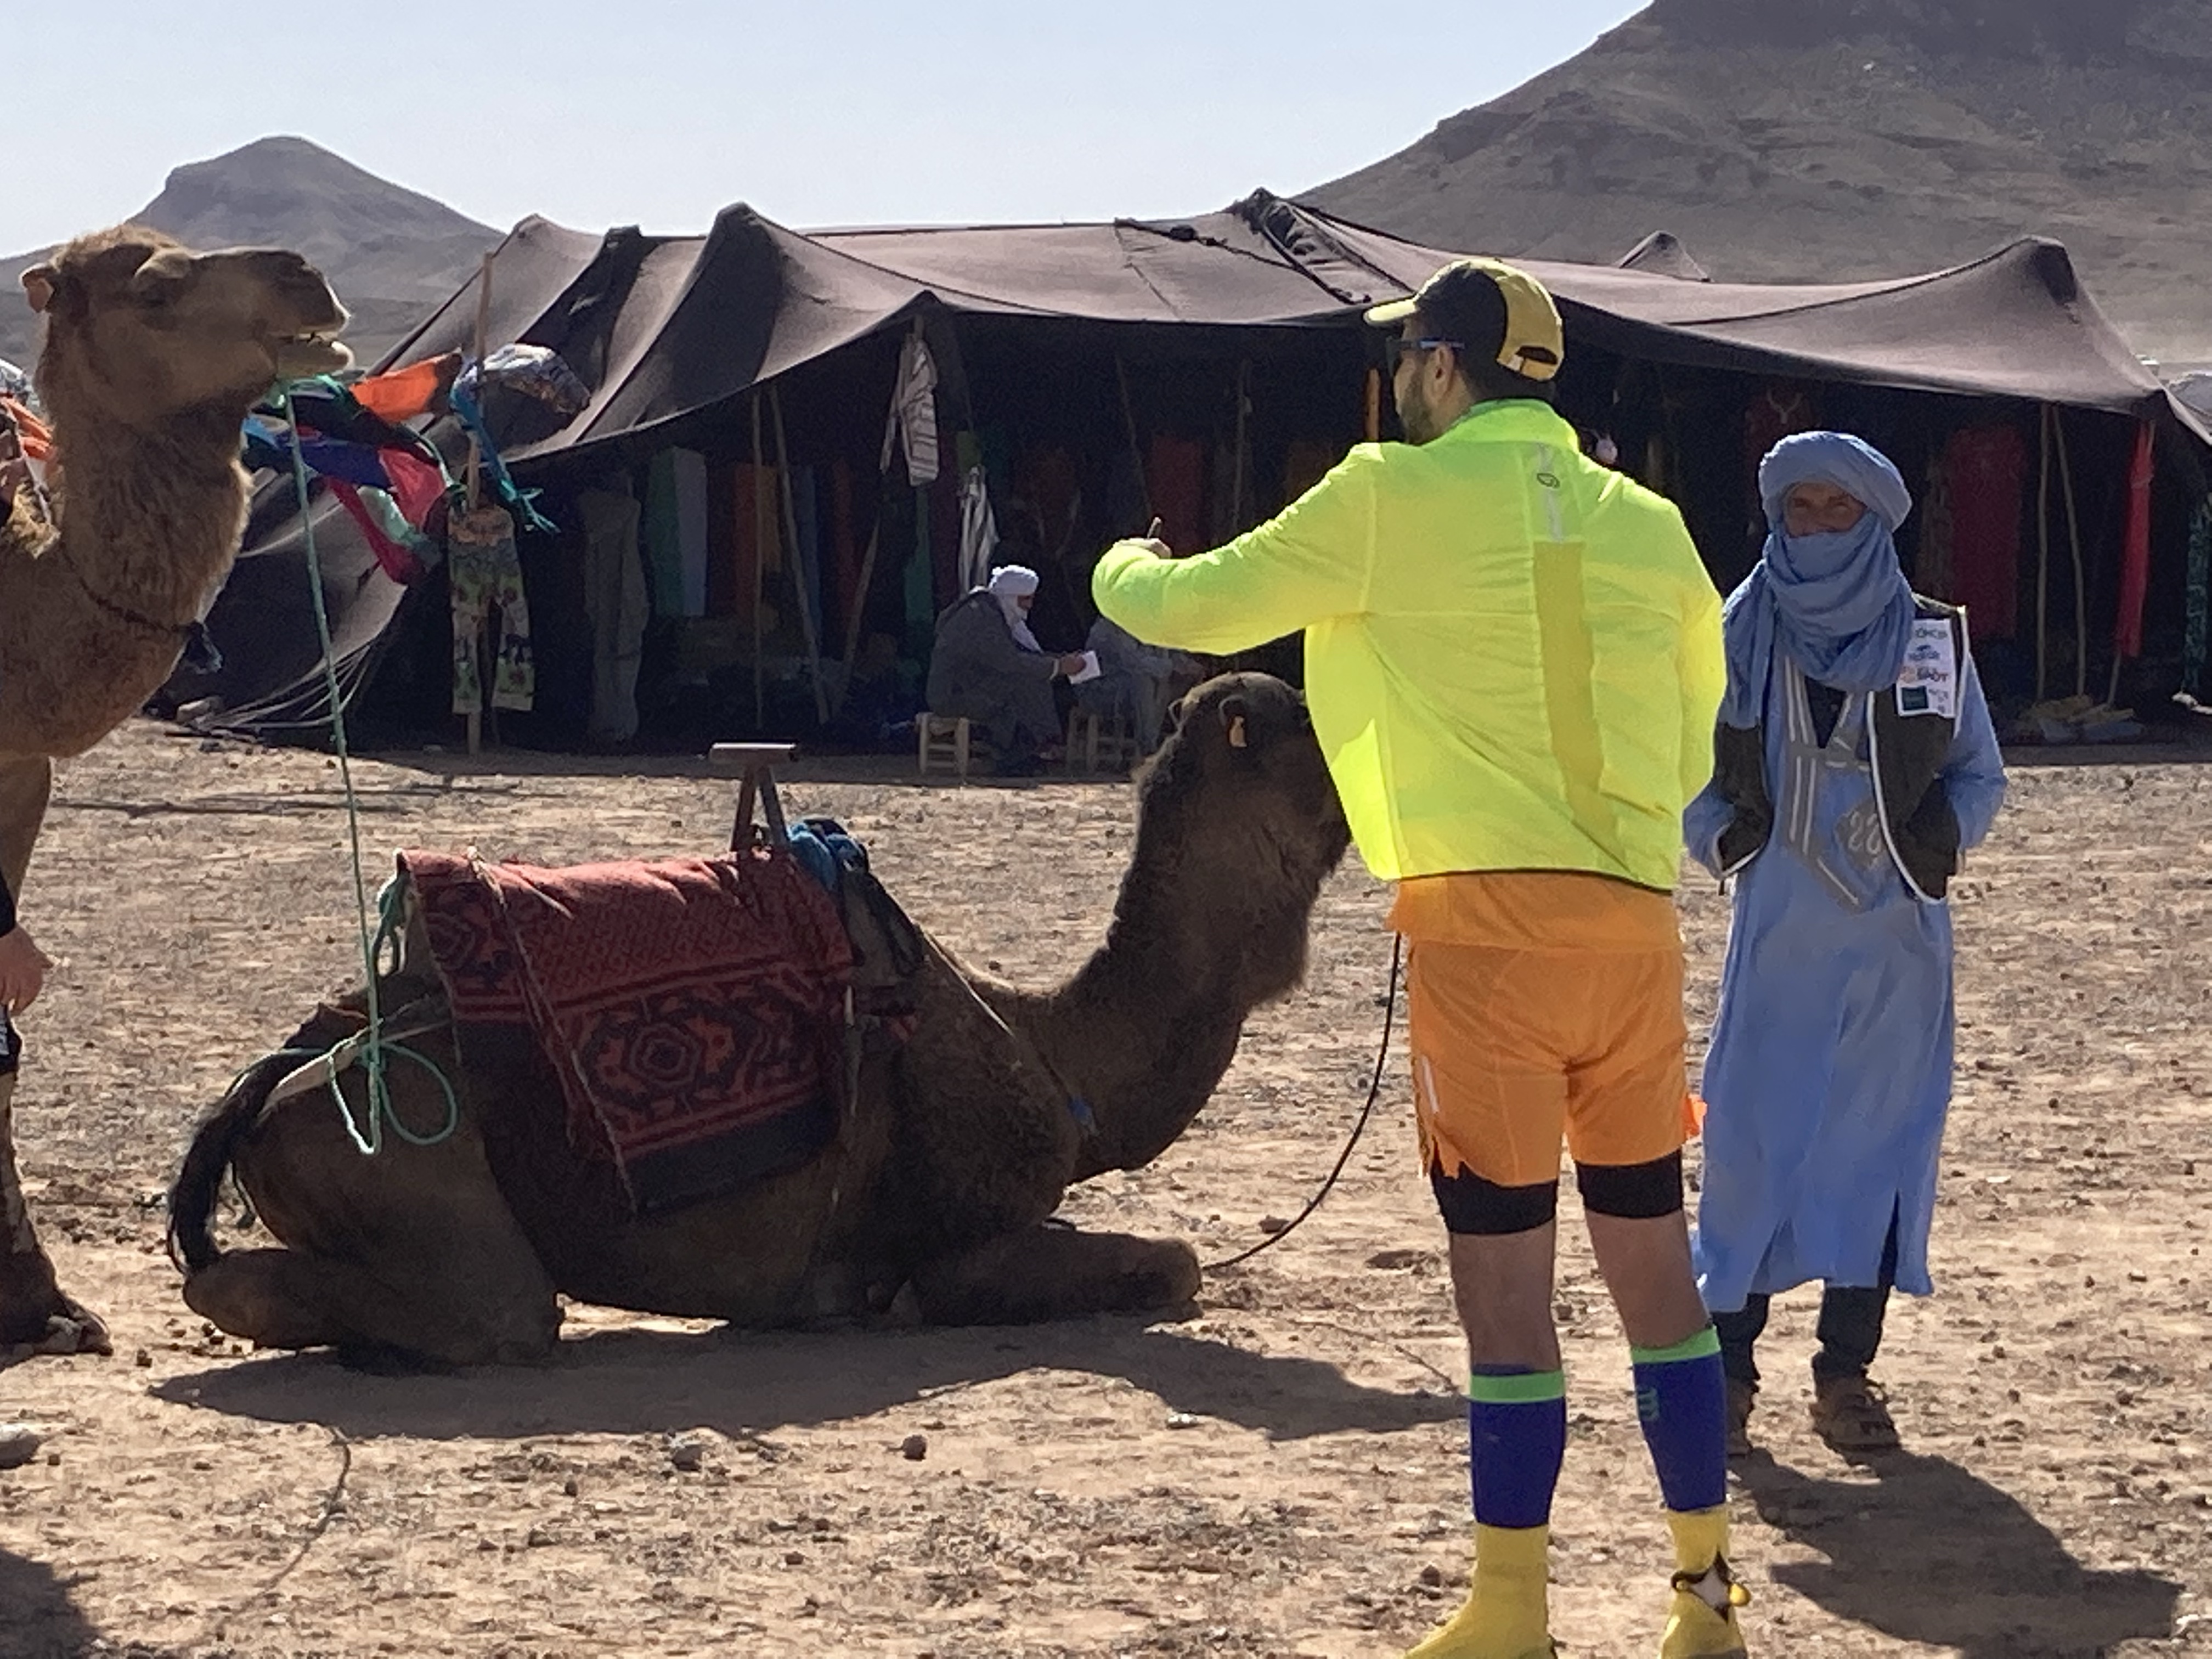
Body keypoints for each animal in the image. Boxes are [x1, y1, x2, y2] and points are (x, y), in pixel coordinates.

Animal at [168, 674, 1353, 1365]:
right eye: (1313, 719)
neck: (1057, 1052)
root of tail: (278, 1075)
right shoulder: (952, 1244)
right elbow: (1173, 1263)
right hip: (401, 1158)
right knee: (485, 1307)